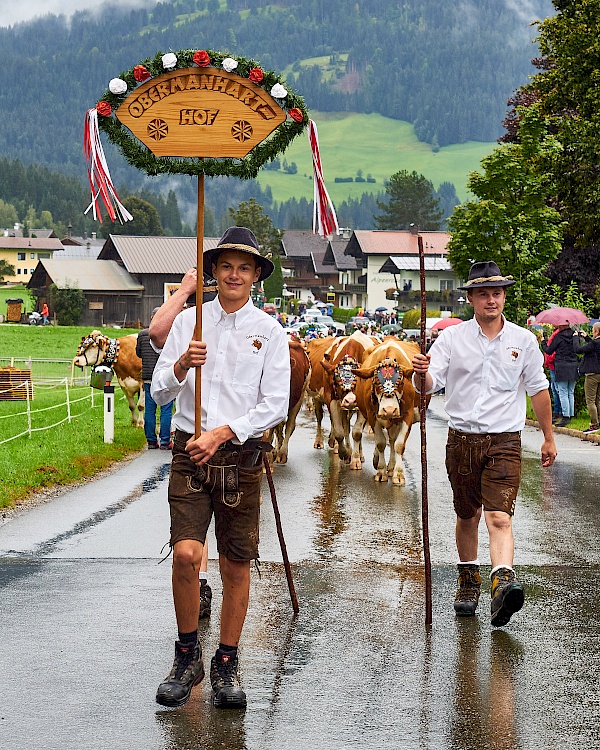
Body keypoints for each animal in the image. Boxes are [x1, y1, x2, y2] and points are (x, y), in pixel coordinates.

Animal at [352, 340, 422, 488]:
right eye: (377, 383)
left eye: (400, 383)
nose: (389, 410)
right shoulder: (372, 415)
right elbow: (380, 443)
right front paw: (381, 471)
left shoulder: (407, 415)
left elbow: (399, 445)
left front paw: (398, 474)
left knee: (393, 440)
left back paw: (391, 467)